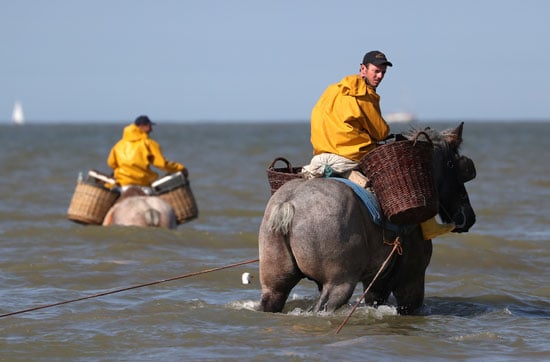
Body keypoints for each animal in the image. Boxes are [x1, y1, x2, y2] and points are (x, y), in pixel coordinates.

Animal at [260, 121, 478, 314]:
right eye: (452, 164)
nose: (468, 216)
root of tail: (289, 203)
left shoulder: (377, 283)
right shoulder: (411, 281)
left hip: (275, 286)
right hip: (339, 285)